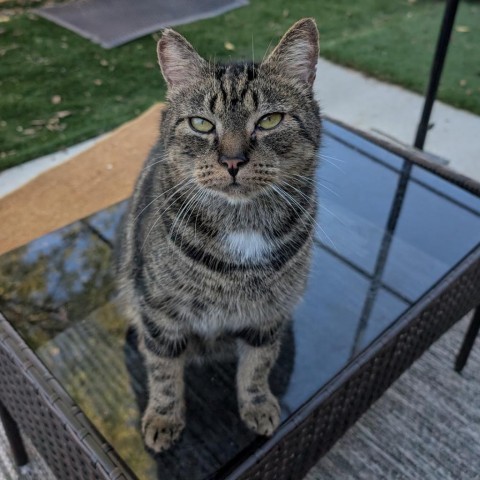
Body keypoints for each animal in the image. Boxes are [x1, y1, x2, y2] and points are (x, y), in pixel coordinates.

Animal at [117, 18, 322, 452]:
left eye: (269, 120)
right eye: (201, 123)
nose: (232, 160)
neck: (242, 226)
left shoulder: (268, 317)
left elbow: (257, 368)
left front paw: (257, 406)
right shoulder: (160, 314)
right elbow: (163, 373)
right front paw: (164, 418)